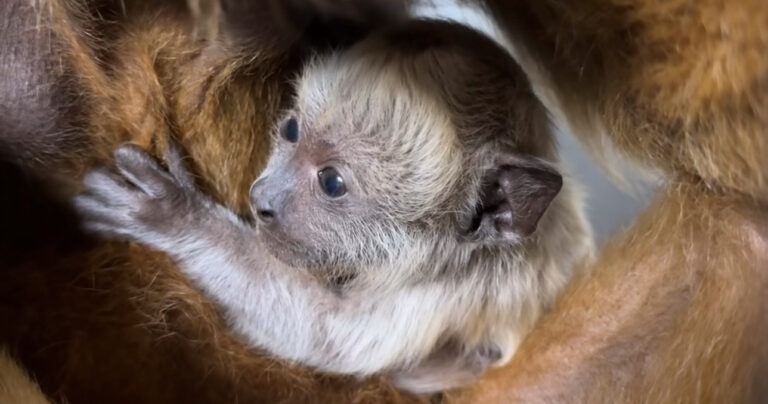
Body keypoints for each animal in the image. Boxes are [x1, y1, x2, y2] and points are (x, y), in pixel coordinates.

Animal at [72, 19, 593, 393]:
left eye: (331, 182)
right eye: (291, 131)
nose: (262, 198)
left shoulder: (447, 290)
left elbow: (329, 335)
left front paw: (178, 216)